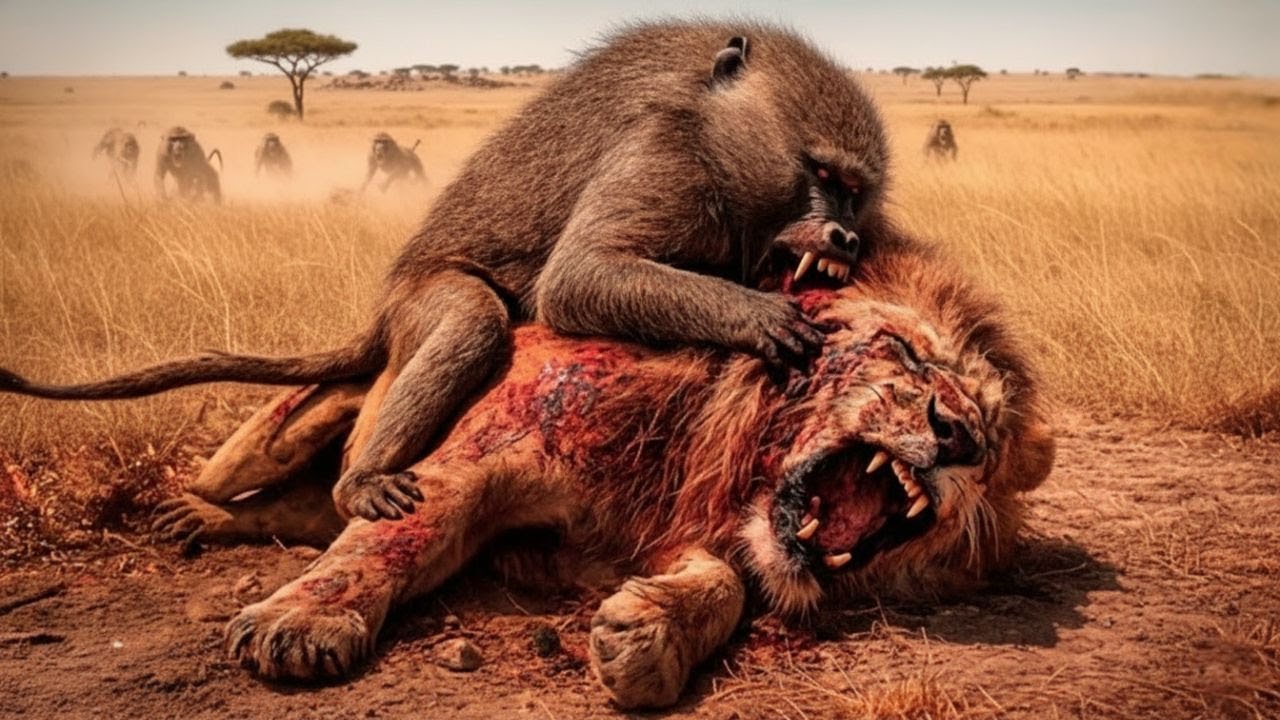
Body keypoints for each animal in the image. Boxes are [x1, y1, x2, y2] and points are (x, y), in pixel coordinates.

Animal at [152, 234, 1054, 709]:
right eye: (906, 353)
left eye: (992, 442)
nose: (958, 434)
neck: (713, 442)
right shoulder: (478, 460)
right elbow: (393, 535)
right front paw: (298, 626)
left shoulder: (661, 536)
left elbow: (726, 584)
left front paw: (644, 636)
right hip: (288, 425)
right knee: (276, 484)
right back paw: (192, 514)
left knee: (306, 512)